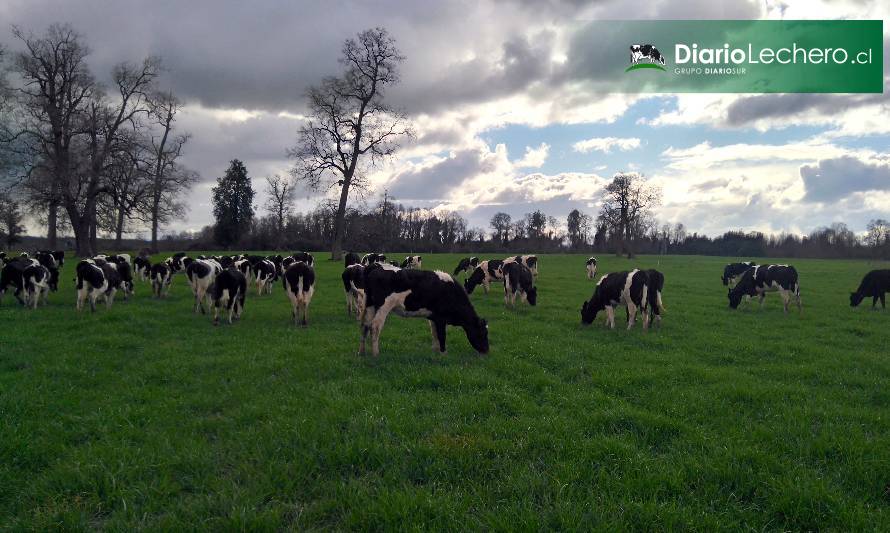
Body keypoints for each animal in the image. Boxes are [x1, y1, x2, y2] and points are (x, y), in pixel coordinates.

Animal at [358, 262, 490, 356]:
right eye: (483, 332)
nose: (486, 351)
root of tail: (376, 266)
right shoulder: (441, 318)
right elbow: (442, 335)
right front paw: (444, 353)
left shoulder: (433, 317)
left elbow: (434, 333)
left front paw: (436, 351)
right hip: (383, 306)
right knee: (375, 327)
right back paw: (376, 354)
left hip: (370, 305)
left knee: (365, 325)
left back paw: (362, 352)